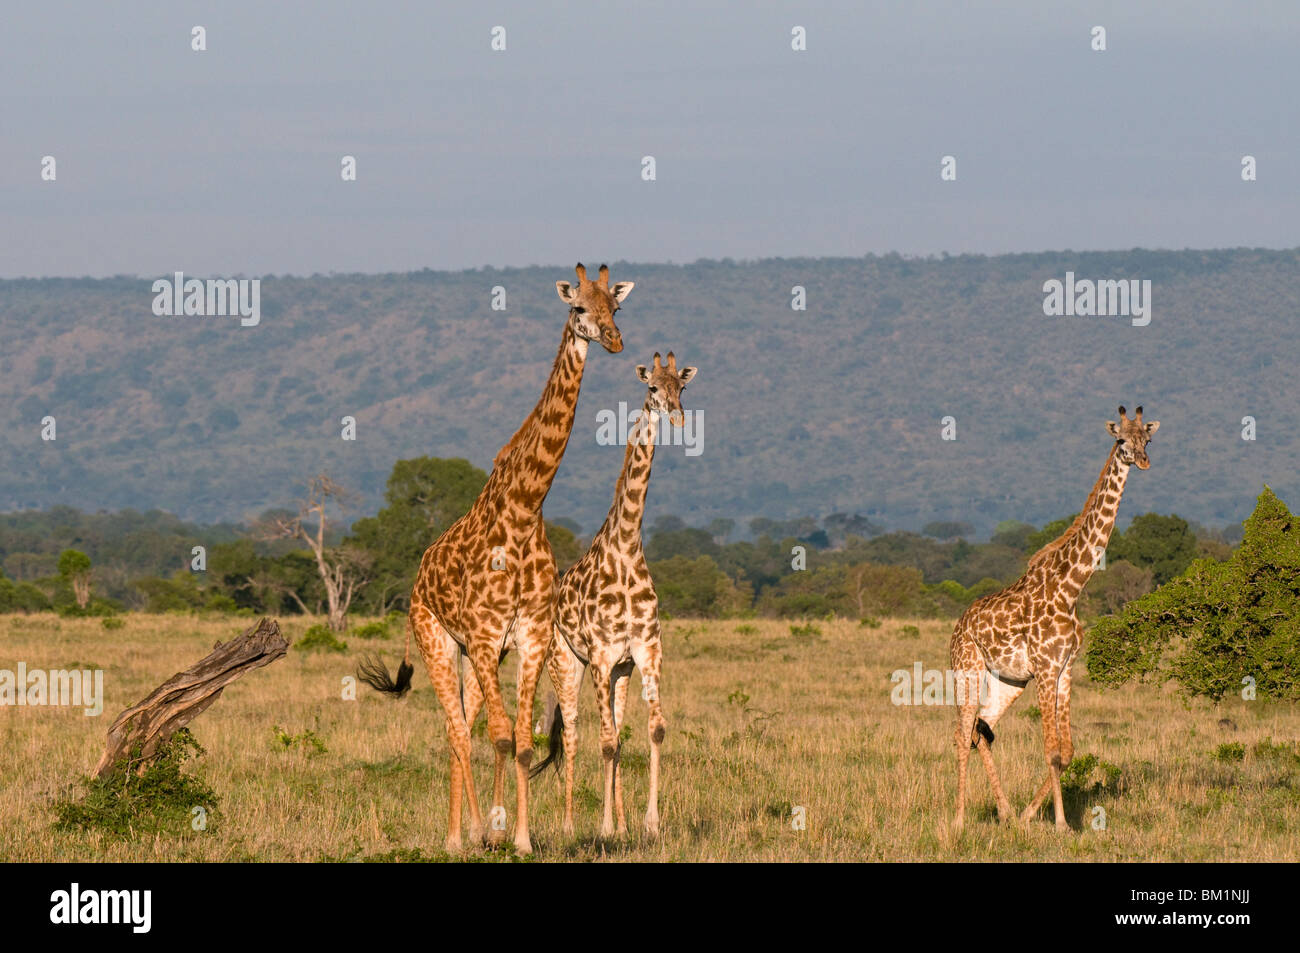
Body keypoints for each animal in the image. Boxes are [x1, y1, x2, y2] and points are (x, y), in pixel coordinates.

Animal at [361, 262, 634, 852]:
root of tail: (419, 575)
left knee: (463, 726)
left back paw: (464, 830)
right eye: (579, 307)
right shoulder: (487, 638)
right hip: (439, 641)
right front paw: (493, 830)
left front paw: (521, 838)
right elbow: (502, 737)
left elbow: (524, 743)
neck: (525, 508)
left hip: (474, 655)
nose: (614, 340)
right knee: (459, 732)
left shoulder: (527, 638)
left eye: (617, 307)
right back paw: (458, 837)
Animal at [527, 348, 696, 832]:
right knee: (574, 733)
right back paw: (571, 823)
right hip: (566, 663)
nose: (676, 416)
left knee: (616, 731)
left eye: (682, 386)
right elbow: (603, 742)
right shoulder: (600, 656)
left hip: (620, 671)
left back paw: (621, 823)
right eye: (652, 387)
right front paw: (602, 827)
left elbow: (652, 730)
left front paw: (648, 823)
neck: (626, 546)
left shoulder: (645, 650)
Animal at [946, 405, 1159, 826]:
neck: (1072, 586)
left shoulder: (1064, 669)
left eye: (1148, 438)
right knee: (962, 735)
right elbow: (1051, 750)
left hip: (1009, 682)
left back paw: (1006, 813)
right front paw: (1060, 824)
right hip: (968, 669)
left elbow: (1067, 751)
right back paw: (959, 819)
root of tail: (958, 626)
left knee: (981, 731)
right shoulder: (1045, 669)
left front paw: (1032, 815)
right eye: (1120, 440)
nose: (1143, 461)